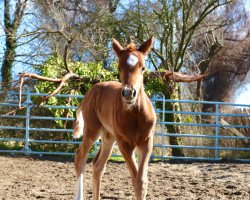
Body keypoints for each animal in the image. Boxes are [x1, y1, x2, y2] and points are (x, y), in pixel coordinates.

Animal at [73, 36, 156, 200]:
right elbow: (136, 180)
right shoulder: (124, 144)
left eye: (143, 68)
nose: (129, 93)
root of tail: (89, 94)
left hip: (108, 137)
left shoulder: (146, 142)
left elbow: (142, 181)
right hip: (92, 131)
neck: (135, 114)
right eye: (119, 67)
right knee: (80, 157)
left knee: (98, 166)